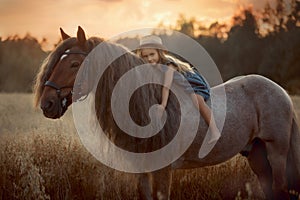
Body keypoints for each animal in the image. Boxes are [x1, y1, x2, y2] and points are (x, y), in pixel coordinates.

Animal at [33, 26, 300, 198]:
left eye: (74, 64)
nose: (47, 104)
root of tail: (281, 91)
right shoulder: (141, 169)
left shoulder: (163, 171)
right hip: (256, 154)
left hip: (276, 151)